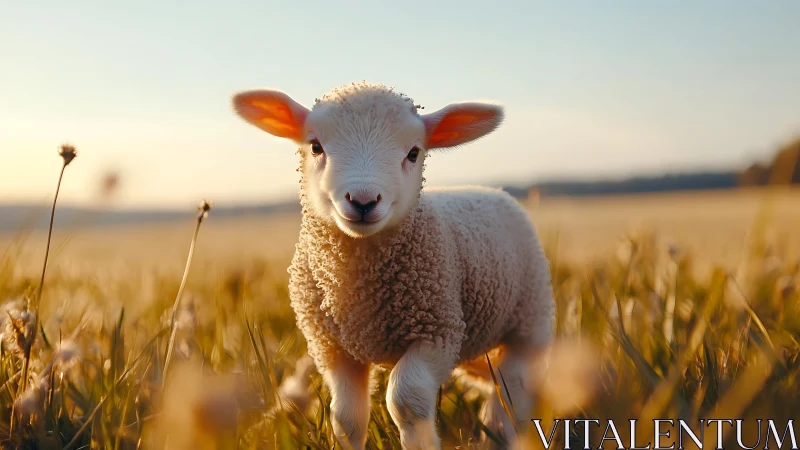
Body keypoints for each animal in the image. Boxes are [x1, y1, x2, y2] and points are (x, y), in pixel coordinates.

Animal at [232, 81, 555, 450]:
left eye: (414, 153)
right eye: (315, 146)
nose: (363, 201)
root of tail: (494, 190)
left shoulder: (438, 331)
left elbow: (407, 399)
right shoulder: (333, 348)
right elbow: (346, 417)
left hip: (529, 321)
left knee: (513, 389)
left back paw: (499, 431)